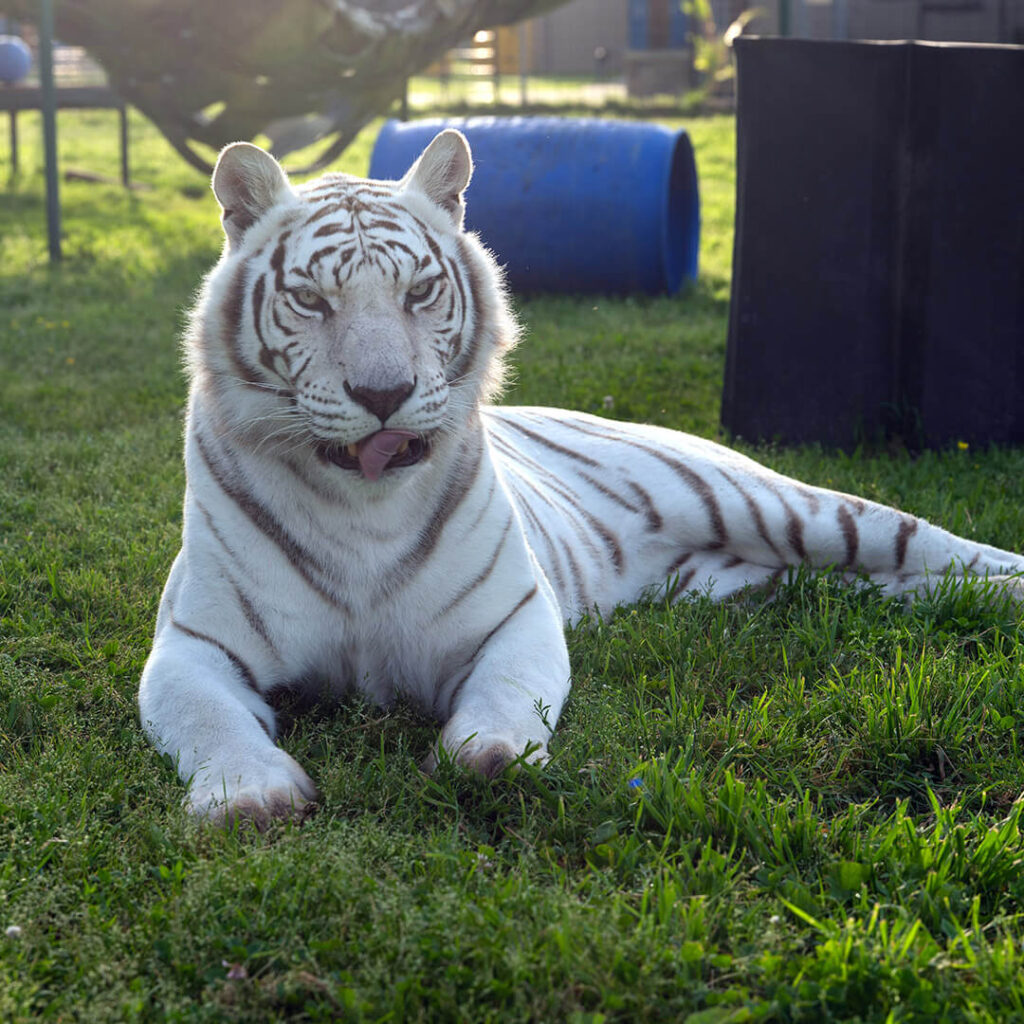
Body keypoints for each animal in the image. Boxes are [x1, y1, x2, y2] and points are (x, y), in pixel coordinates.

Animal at [138, 128, 1024, 826]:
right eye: (311, 301)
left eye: (419, 292)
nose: (383, 394)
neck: (364, 507)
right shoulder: (193, 644)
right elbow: (206, 719)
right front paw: (249, 796)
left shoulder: (513, 617)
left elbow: (508, 693)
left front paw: (487, 756)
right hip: (767, 583)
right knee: (898, 586)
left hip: (784, 508)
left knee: (934, 546)